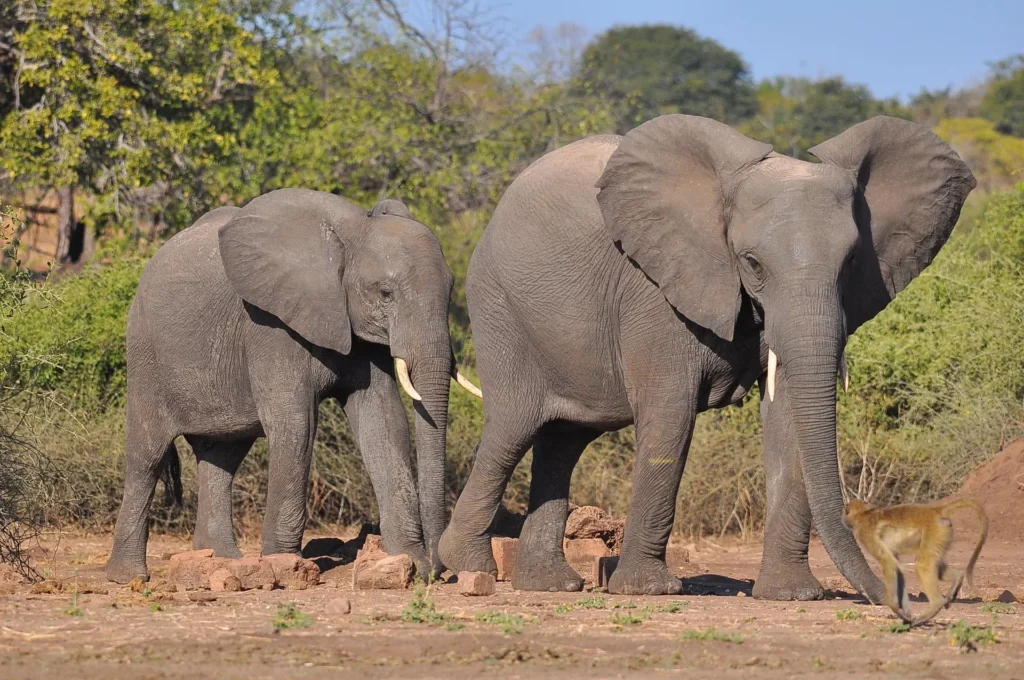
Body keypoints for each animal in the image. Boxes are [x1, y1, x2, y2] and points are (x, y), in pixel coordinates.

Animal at [105, 188, 481, 583]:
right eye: (385, 293)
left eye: (451, 290)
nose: (440, 571)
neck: (350, 232)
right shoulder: (269, 324)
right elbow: (296, 423)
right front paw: (283, 567)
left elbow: (384, 420)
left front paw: (411, 564)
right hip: (146, 354)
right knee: (147, 455)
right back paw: (129, 576)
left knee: (221, 456)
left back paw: (222, 561)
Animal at [438, 115, 975, 598]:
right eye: (752, 263)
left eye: (852, 262)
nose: (897, 597)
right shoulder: (655, 290)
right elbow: (670, 416)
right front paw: (647, 590)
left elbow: (787, 418)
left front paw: (792, 595)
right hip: (499, 310)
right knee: (514, 427)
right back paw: (468, 567)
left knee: (563, 440)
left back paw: (549, 585)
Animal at [843, 497, 988, 627]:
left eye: (846, 511)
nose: (842, 518)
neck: (865, 514)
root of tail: (935, 511)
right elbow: (898, 568)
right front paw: (905, 613)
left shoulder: (866, 534)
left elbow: (890, 565)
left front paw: (896, 608)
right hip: (943, 533)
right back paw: (957, 580)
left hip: (935, 531)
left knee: (922, 566)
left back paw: (933, 607)